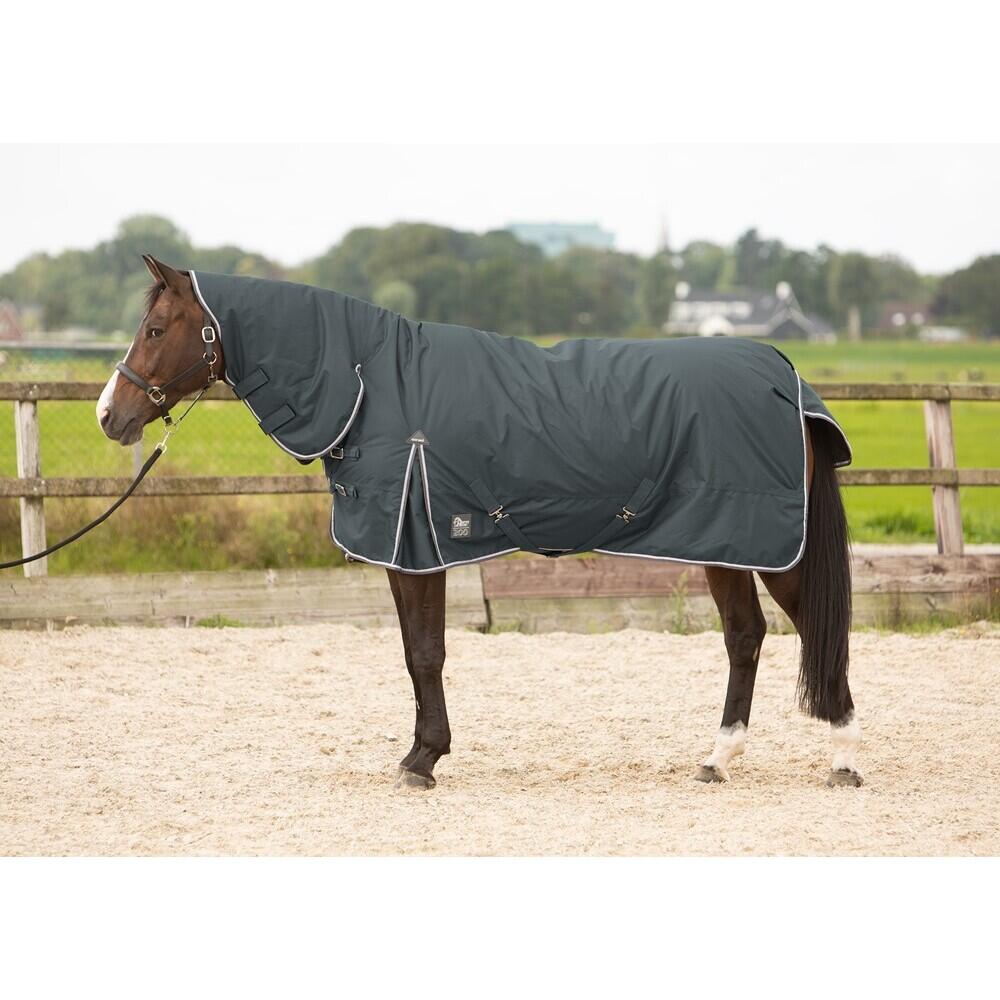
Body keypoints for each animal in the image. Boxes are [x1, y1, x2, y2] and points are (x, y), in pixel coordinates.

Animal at [97, 255, 862, 790]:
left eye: (155, 330)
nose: (110, 415)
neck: (371, 384)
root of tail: (785, 375)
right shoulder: (411, 551)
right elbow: (417, 652)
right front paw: (421, 753)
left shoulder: (416, 547)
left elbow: (425, 654)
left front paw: (422, 760)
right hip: (723, 541)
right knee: (745, 636)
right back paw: (717, 759)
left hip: (769, 546)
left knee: (816, 631)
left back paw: (842, 757)